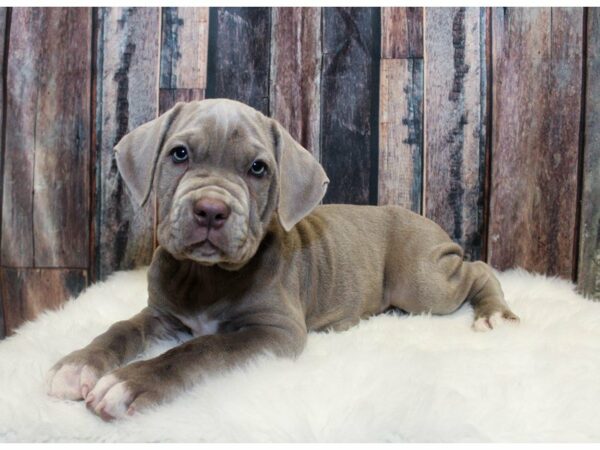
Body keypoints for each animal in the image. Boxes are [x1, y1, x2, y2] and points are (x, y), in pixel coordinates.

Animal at [45, 97, 516, 418]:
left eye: (258, 168)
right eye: (179, 154)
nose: (211, 210)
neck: (205, 276)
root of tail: (420, 217)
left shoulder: (275, 331)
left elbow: (201, 348)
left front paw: (129, 383)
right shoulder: (161, 313)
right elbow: (121, 329)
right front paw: (78, 364)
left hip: (422, 283)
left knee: (477, 269)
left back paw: (493, 313)